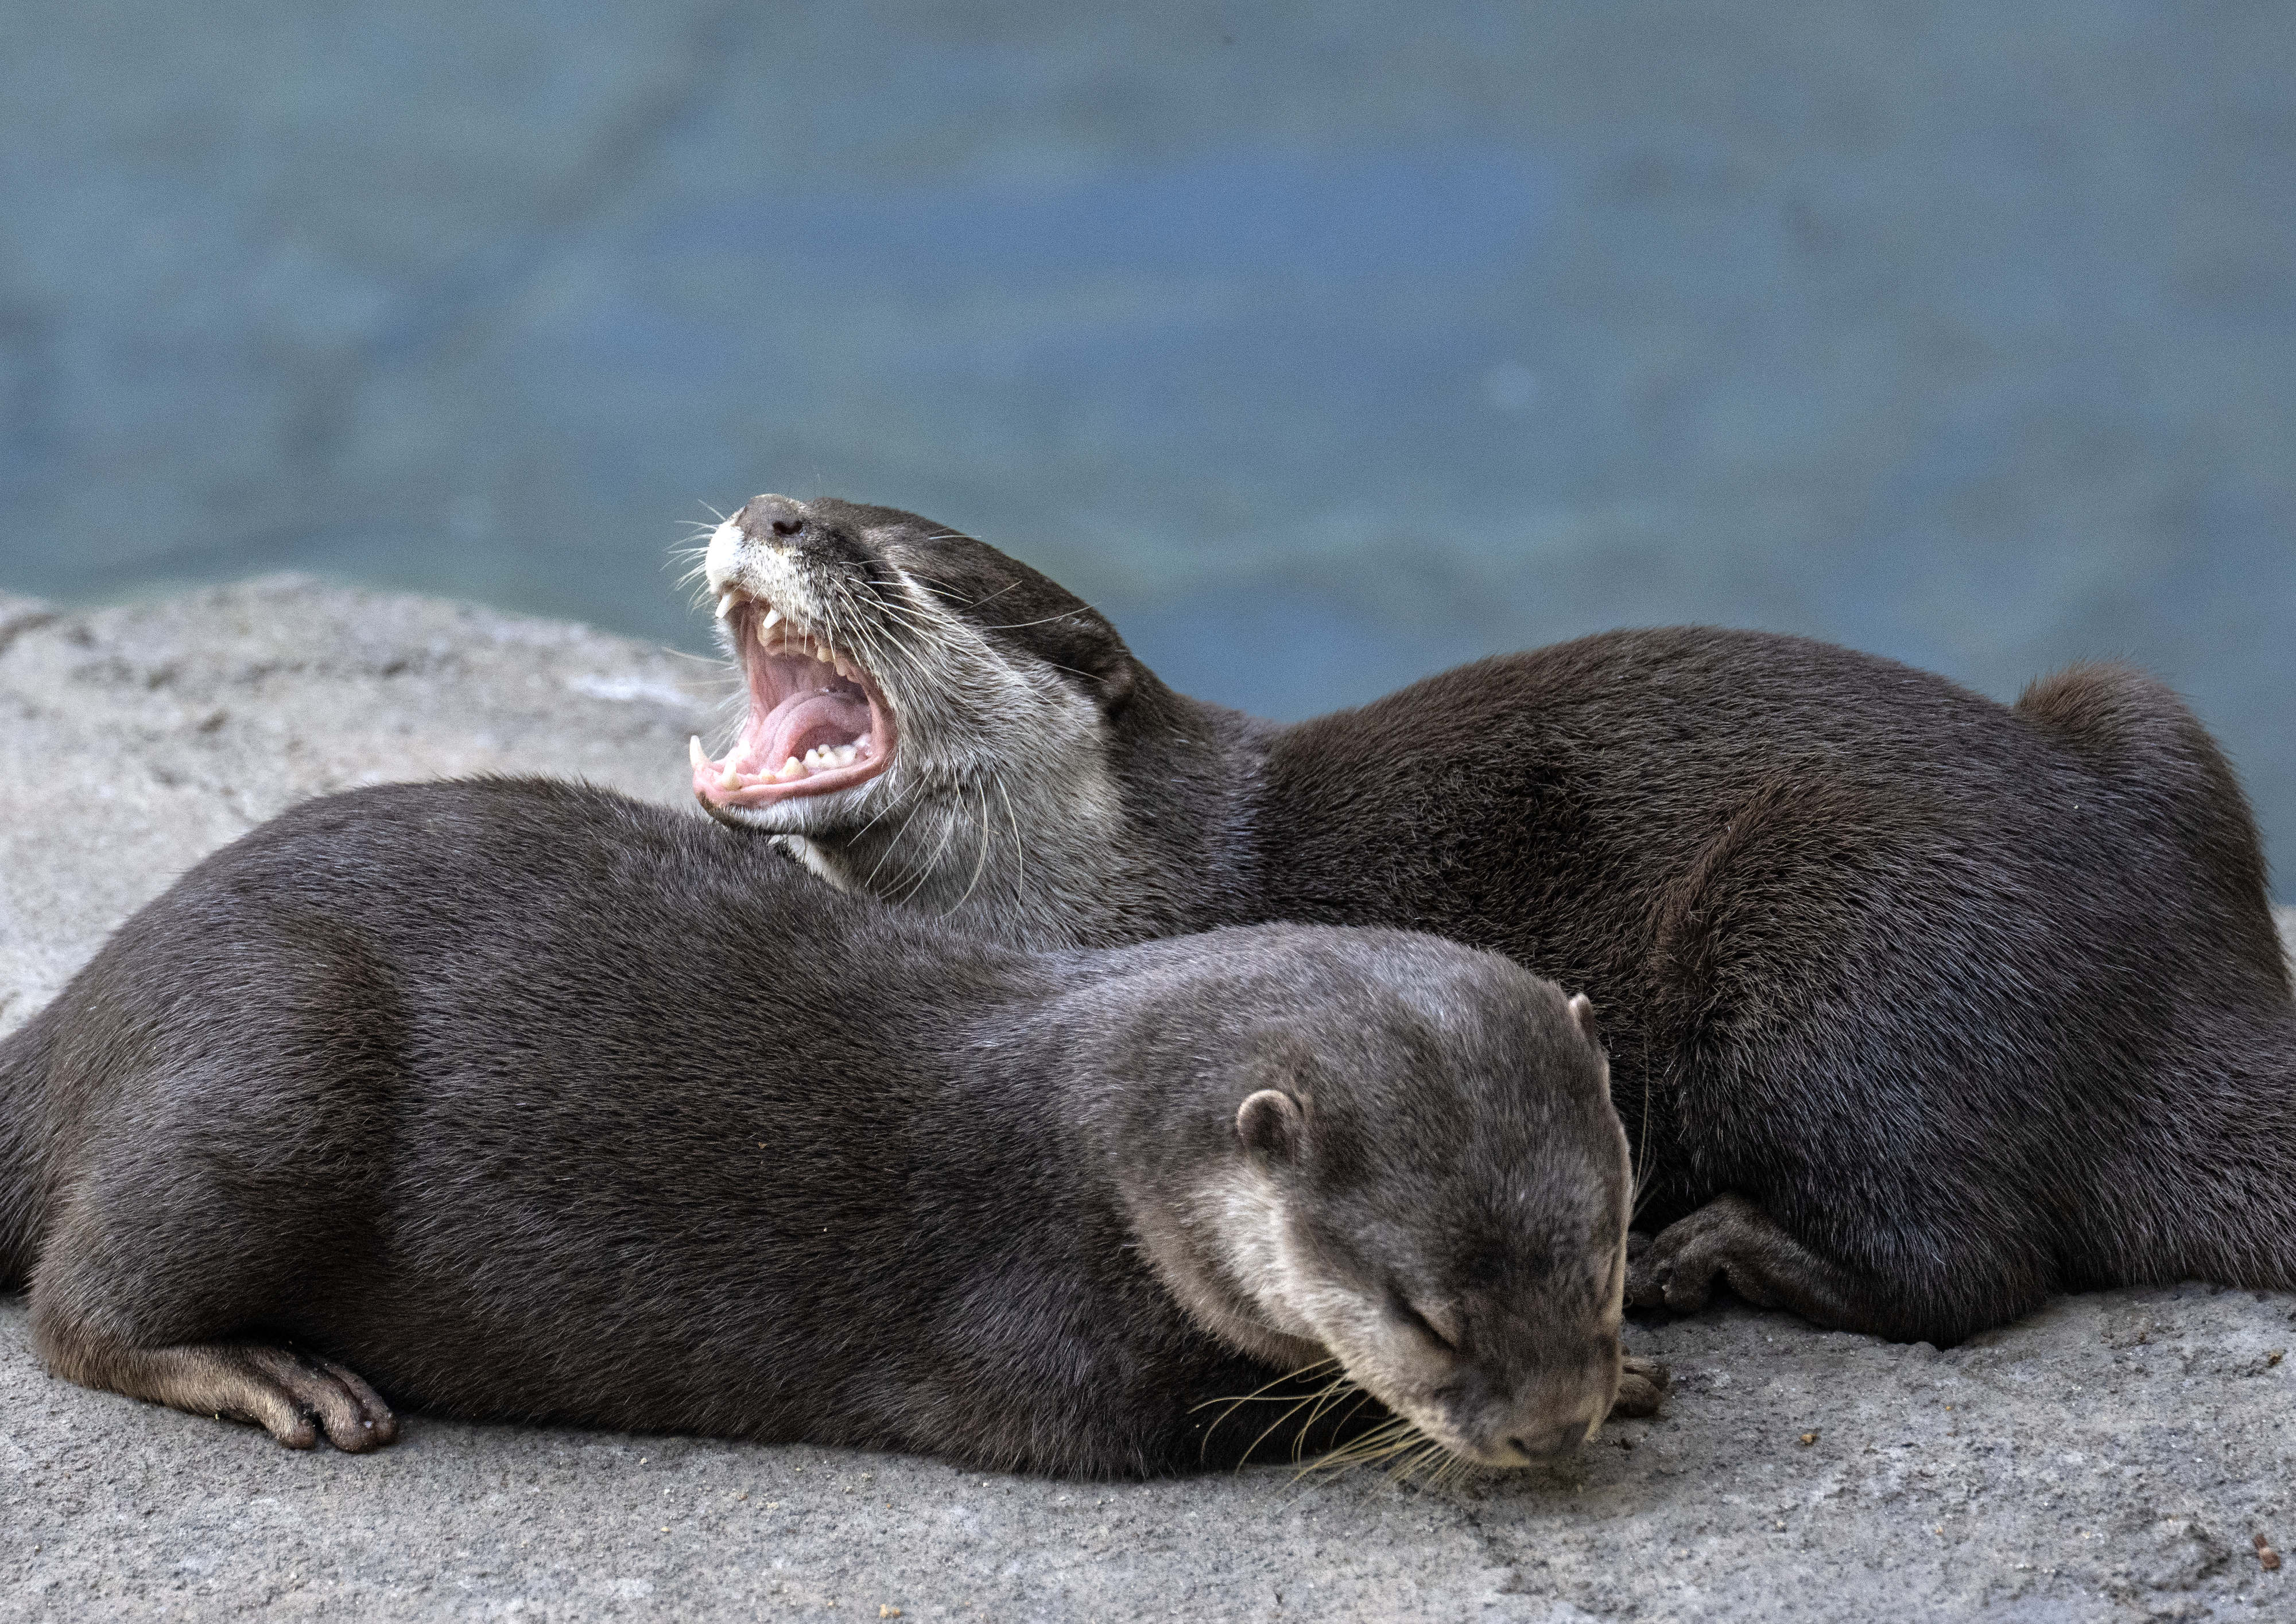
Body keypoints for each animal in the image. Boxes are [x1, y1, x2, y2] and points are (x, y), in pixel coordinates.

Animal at [0, 777, 1659, 1474]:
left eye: (1602, 1261)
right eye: (1424, 1319)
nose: (1549, 1427)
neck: (1105, 1157)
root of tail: (89, 1005)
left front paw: (1631, 1369)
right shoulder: (1043, 1340)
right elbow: (1211, 1417)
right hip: (267, 1073)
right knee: (81, 1308)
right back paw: (273, 1373)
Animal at [690, 494, 2296, 1348]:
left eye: (892, 564)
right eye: (806, 504)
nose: (771, 512)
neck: (1135, 869)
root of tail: (2178, 1000)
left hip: (1831, 916)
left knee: (1968, 1266)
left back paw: (1695, 1254)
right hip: (2122, 706)